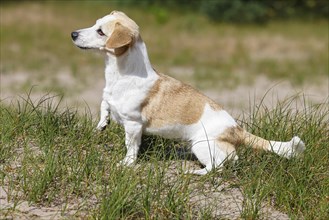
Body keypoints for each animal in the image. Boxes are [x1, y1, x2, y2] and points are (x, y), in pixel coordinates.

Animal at [72, 10, 304, 175]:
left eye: (101, 32)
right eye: (94, 24)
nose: (73, 33)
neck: (119, 75)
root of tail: (237, 129)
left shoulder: (133, 125)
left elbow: (131, 147)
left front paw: (126, 163)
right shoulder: (109, 99)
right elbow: (104, 104)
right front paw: (102, 124)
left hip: (201, 145)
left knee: (220, 164)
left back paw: (196, 173)